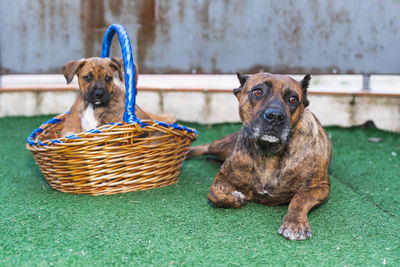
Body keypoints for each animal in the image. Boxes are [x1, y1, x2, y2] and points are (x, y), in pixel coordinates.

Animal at [189, 72, 332, 242]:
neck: (268, 153)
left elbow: (300, 198)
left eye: (293, 99)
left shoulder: (320, 186)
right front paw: (237, 197)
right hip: (222, 146)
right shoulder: (223, 176)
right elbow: (214, 194)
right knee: (206, 146)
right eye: (258, 92)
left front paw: (295, 223)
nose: (275, 116)